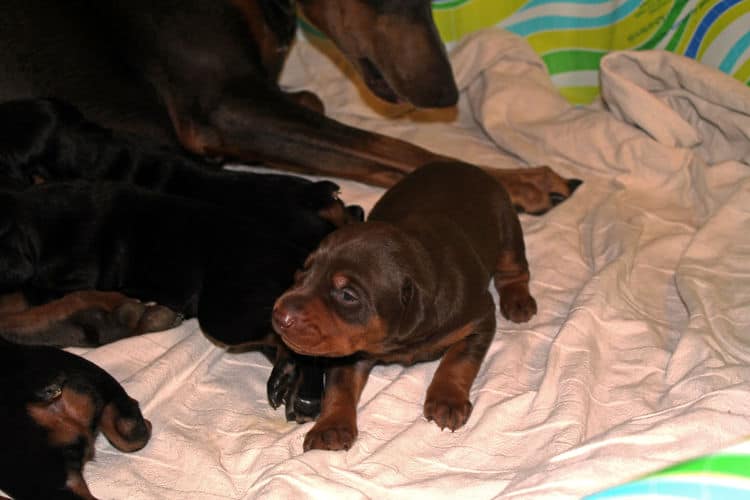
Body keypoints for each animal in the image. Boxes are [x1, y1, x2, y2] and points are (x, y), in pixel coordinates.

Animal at [274, 162, 536, 452]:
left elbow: (459, 360)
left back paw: (518, 301)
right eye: (305, 270)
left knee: (513, 268)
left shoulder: (480, 319)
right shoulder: (351, 350)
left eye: (348, 295)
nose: (279, 315)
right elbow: (339, 385)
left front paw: (447, 399)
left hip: (506, 225)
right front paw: (331, 426)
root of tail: (462, 165)